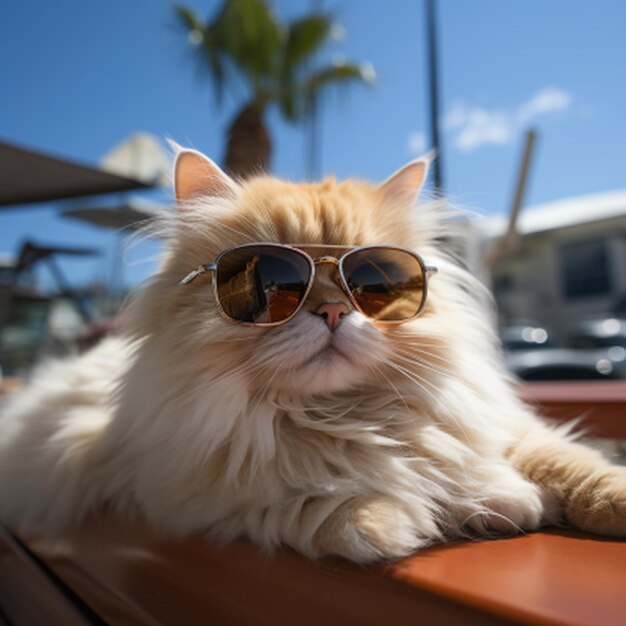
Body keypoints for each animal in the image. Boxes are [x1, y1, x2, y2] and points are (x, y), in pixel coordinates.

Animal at [1, 147, 624, 560]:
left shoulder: (507, 427)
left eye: (373, 281)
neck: (347, 413)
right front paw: (416, 517)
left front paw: (522, 498)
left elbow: (571, 466)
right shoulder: (195, 494)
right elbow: (327, 500)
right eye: (270, 280)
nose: (330, 311)